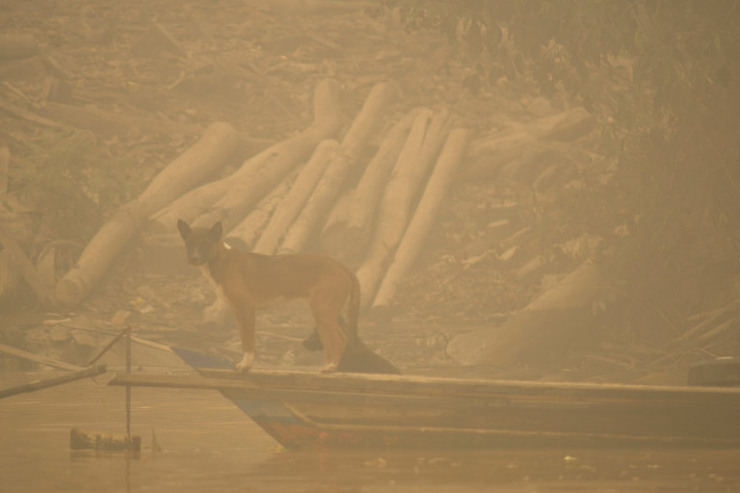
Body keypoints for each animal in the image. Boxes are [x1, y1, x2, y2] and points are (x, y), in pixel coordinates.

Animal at [178, 219, 398, 372]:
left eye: (205, 243)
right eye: (190, 243)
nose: (193, 258)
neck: (224, 262)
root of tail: (341, 266)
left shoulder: (247, 309)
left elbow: (250, 342)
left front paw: (246, 365)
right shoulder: (239, 312)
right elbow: (243, 340)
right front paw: (243, 363)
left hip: (322, 310)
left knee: (341, 339)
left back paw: (332, 368)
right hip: (322, 315)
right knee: (331, 342)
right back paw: (328, 366)